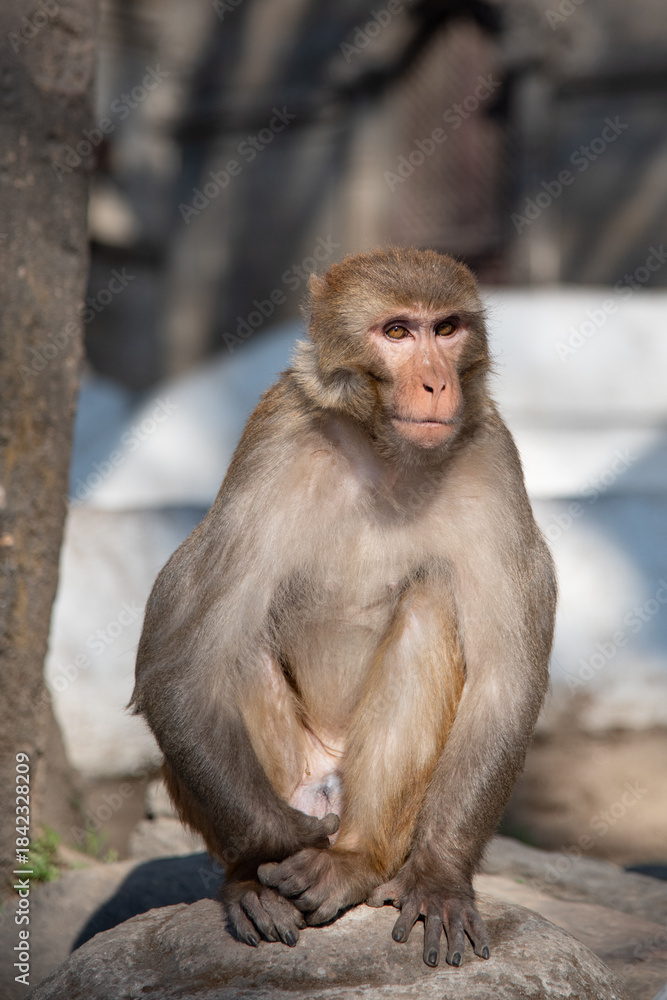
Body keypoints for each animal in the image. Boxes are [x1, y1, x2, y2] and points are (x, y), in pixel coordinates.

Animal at [131, 247, 556, 969]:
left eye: (446, 329)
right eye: (397, 333)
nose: (437, 384)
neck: (384, 451)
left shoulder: (493, 458)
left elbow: (504, 683)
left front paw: (440, 877)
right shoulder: (272, 439)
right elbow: (178, 665)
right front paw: (276, 847)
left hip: (381, 810)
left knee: (429, 602)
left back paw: (352, 861)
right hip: (296, 778)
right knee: (233, 641)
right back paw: (254, 878)